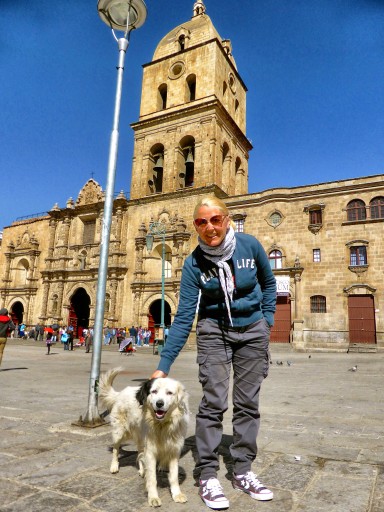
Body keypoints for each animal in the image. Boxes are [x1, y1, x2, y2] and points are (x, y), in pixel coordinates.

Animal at [98, 368, 190, 508]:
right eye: (154, 391)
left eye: (169, 393)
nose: (159, 403)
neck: (162, 426)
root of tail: (120, 393)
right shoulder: (151, 452)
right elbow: (152, 478)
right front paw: (153, 497)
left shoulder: (174, 451)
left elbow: (173, 476)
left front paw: (177, 494)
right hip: (119, 432)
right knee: (115, 449)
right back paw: (114, 466)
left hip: (141, 437)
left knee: (140, 453)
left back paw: (142, 470)